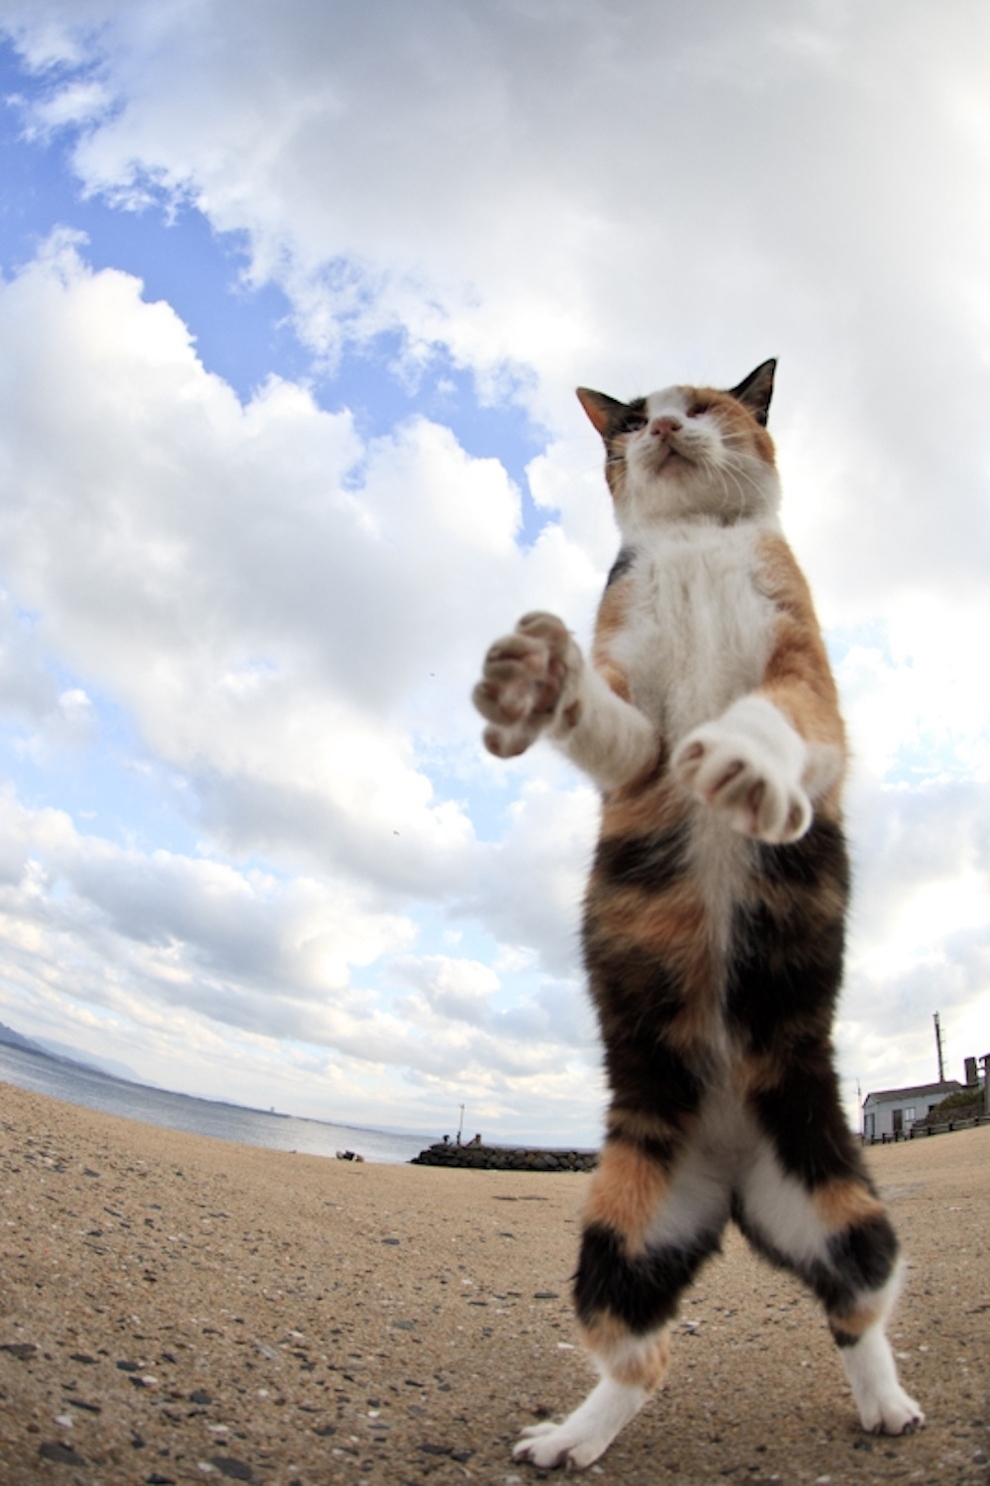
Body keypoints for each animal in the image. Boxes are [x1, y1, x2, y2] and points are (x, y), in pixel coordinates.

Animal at [469, 362, 915, 1474]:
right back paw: (570, 1439)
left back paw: (886, 1403)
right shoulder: (637, 726)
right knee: (644, 1356)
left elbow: (769, 720)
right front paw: (541, 680)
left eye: (706, 405)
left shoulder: (806, 676)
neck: (696, 547)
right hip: (621, 1232)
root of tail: (730, 1171)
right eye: (631, 420)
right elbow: (610, 716)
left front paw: (749, 772)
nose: (664, 428)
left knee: (860, 1308)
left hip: (846, 1206)